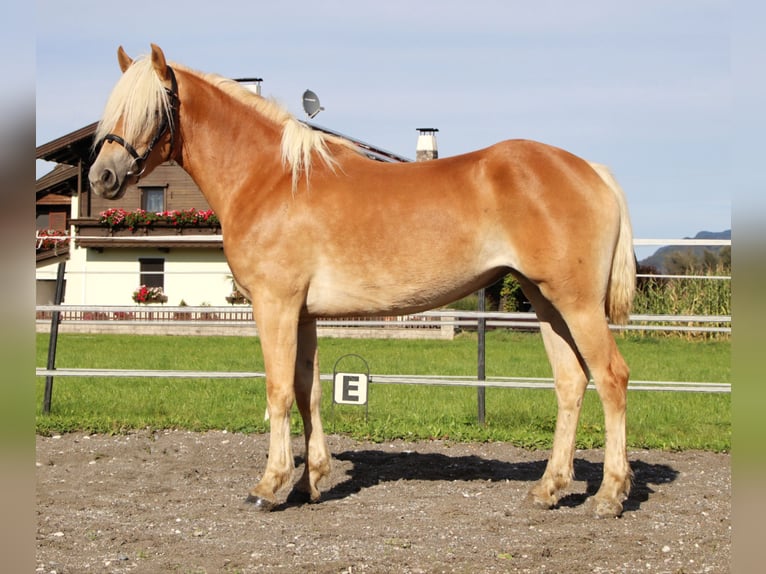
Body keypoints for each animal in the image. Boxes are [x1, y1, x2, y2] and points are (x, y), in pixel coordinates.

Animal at [90, 45, 640, 520]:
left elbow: (277, 391)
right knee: (571, 383)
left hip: (576, 304)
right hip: (546, 302)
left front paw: (270, 485)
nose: (102, 177)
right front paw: (311, 480)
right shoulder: (303, 314)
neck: (272, 178)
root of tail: (592, 170)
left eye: (152, 107)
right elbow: (306, 391)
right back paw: (549, 488)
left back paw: (609, 495)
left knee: (611, 378)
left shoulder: (275, 305)